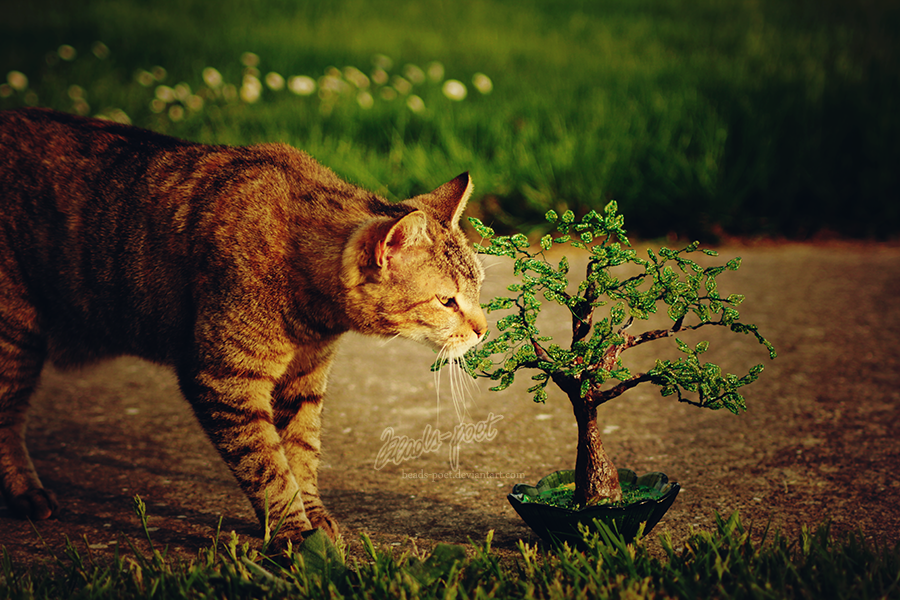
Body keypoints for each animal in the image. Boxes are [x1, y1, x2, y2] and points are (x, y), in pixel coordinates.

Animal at [0, 106, 486, 544]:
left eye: (479, 285)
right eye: (447, 301)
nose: (484, 329)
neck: (312, 312)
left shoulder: (304, 382)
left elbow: (301, 454)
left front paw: (314, 517)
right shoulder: (225, 379)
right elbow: (268, 467)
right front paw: (294, 532)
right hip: (15, 337)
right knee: (8, 417)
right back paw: (26, 494)